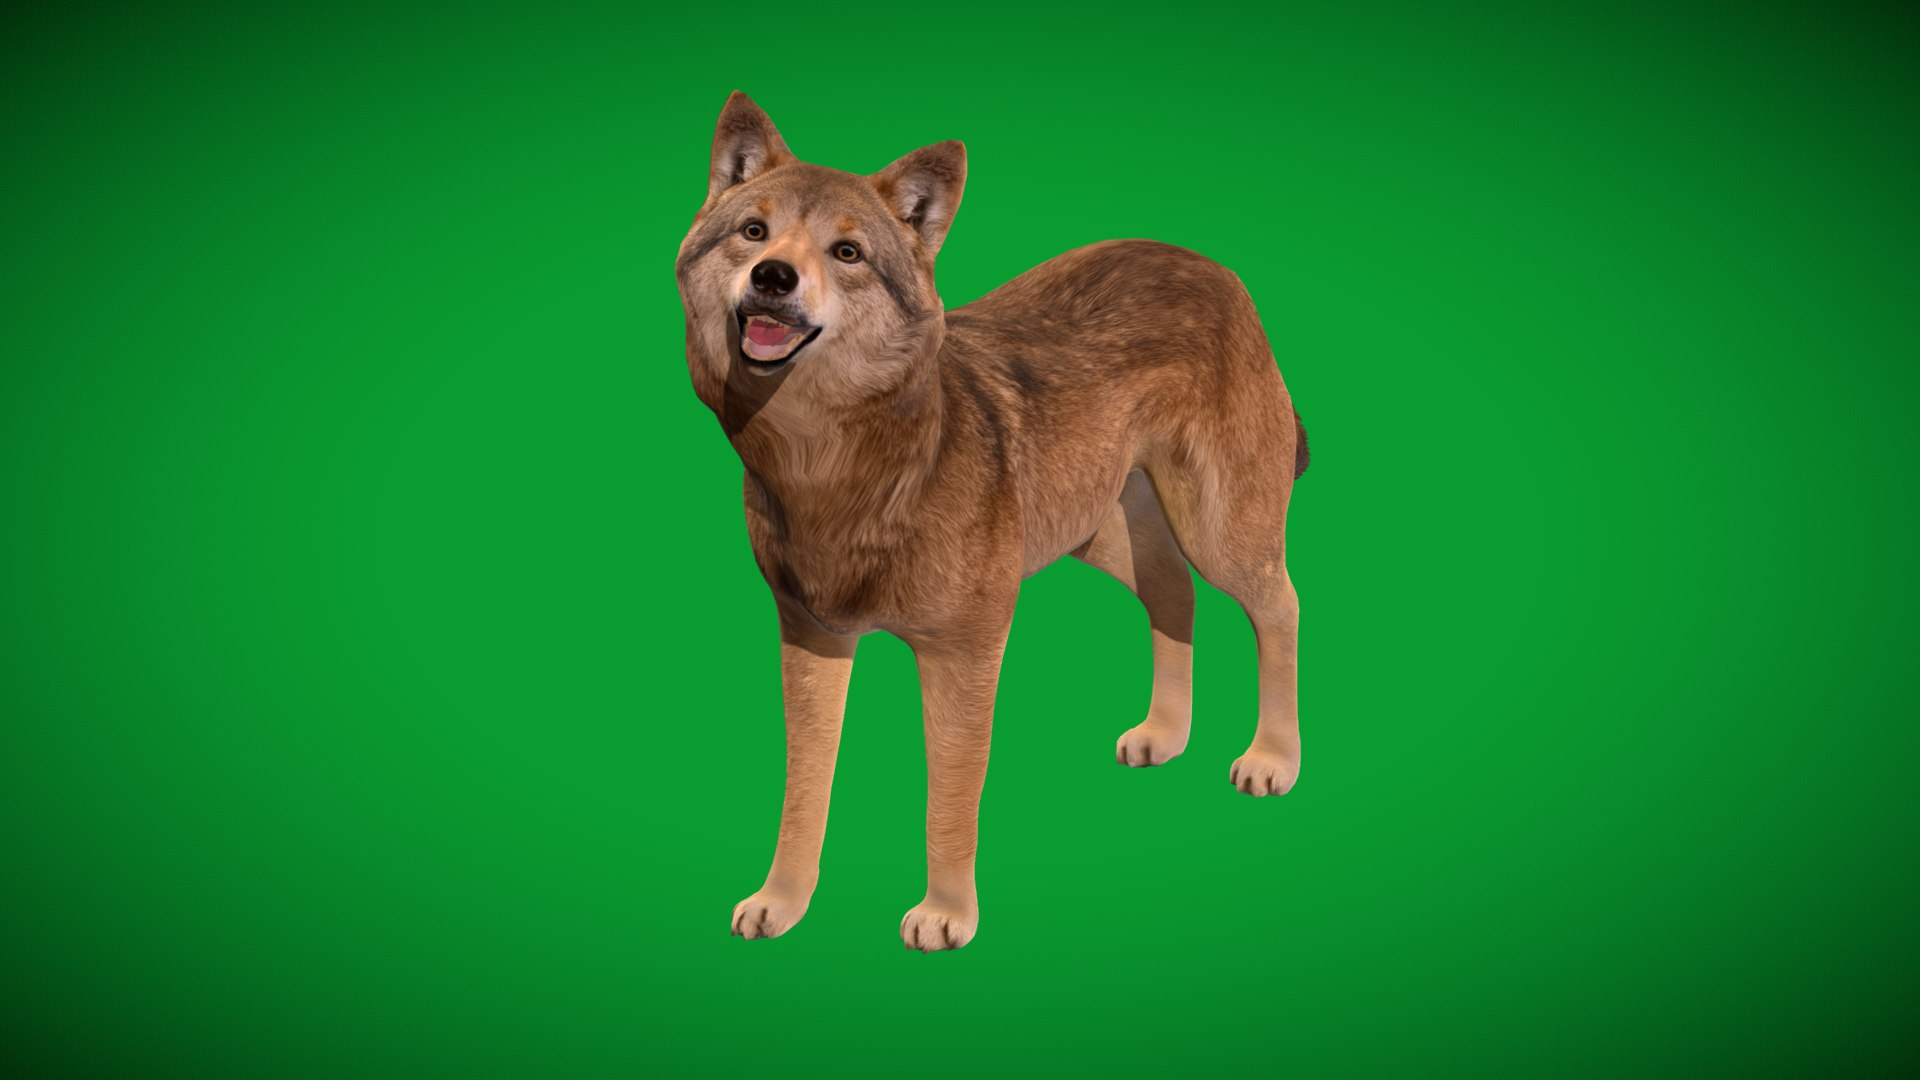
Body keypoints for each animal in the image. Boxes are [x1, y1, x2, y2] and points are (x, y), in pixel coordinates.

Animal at [675, 92, 1310, 952]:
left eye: (847, 252)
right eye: (753, 231)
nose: (773, 277)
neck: (835, 463)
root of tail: (1214, 268)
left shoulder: (965, 650)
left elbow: (949, 799)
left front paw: (946, 914)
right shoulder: (811, 639)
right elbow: (803, 791)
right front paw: (783, 901)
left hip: (1219, 533)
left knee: (1279, 606)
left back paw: (1273, 757)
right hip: (1101, 534)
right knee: (1175, 596)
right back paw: (1164, 734)